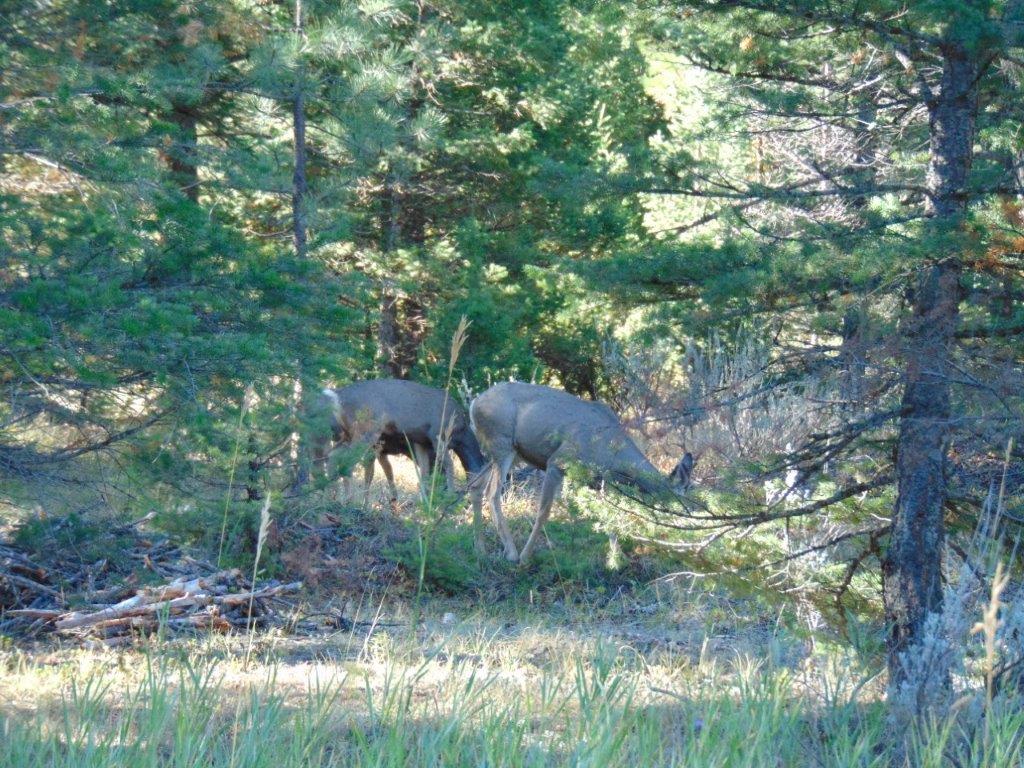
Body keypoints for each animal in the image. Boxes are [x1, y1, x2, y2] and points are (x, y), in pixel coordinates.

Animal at [311, 379, 488, 548]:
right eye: (482, 484)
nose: (481, 503)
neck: (461, 433)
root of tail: (337, 397)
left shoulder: (421, 443)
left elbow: (424, 476)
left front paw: (425, 508)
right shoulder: (438, 435)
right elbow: (449, 466)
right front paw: (448, 502)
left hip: (350, 434)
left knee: (333, 455)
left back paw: (331, 499)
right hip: (366, 430)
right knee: (341, 460)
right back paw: (343, 502)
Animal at [470, 382, 695, 563]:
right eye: (680, 502)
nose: (691, 530)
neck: (611, 451)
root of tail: (474, 403)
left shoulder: (599, 482)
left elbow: (608, 515)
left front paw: (617, 559)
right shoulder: (557, 461)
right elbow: (543, 512)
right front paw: (526, 557)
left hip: (506, 453)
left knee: (475, 485)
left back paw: (480, 549)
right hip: (502, 443)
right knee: (492, 492)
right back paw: (512, 553)